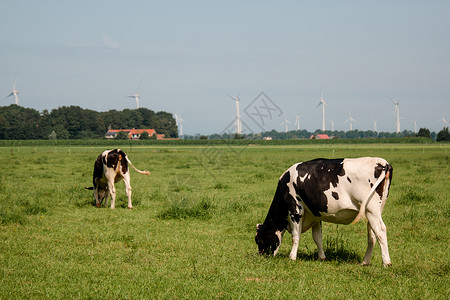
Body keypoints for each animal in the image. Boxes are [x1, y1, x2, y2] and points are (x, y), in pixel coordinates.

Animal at [256, 157, 394, 268]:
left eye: (258, 240)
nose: (261, 257)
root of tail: (383, 162)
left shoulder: (295, 211)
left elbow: (295, 236)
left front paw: (292, 257)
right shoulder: (315, 216)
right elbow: (318, 238)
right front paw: (322, 257)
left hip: (371, 210)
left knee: (381, 231)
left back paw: (386, 262)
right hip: (373, 211)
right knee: (372, 236)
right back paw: (365, 261)